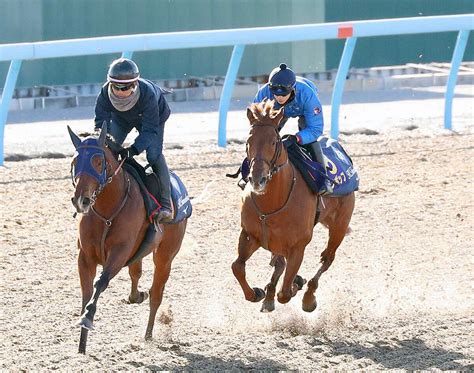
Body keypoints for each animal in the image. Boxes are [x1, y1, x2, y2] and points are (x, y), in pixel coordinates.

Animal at [68, 123, 187, 354]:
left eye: (98, 161)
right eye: (75, 162)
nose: (81, 200)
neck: (107, 211)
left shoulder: (120, 253)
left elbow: (100, 282)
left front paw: (87, 318)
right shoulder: (84, 256)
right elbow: (86, 291)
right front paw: (81, 344)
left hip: (165, 256)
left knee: (156, 293)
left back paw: (148, 335)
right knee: (136, 274)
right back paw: (137, 296)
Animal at [231, 100, 354, 312]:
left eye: (274, 141)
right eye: (248, 142)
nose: (257, 179)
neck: (272, 204)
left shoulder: (298, 246)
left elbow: (285, 294)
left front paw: (296, 283)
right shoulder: (249, 235)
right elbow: (237, 267)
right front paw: (256, 293)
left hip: (340, 225)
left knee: (327, 258)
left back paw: (308, 296)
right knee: (279, 263)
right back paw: (270, 294)